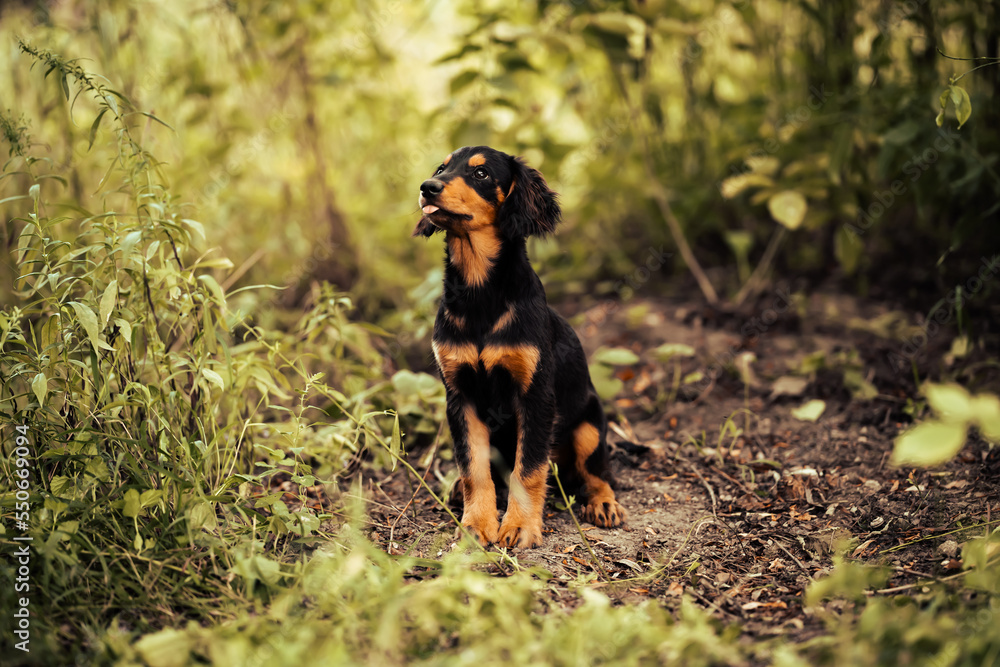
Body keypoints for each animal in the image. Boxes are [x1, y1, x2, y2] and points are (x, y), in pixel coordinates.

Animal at [414, 146, 624, 548]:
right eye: (441, 168)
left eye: (480, 173)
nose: (427, 186)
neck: (480, 292)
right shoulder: (460, 396)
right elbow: (473, 467)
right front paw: (477, 523)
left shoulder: (535, 395)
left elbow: (528, 468)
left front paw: (520, 526)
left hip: (590, 425)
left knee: (597, 471)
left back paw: (604, 503)